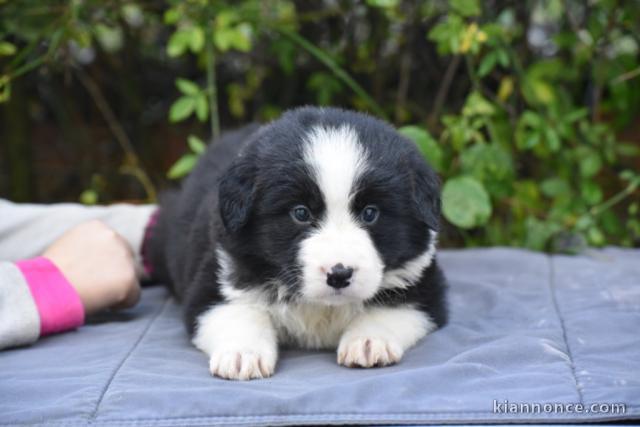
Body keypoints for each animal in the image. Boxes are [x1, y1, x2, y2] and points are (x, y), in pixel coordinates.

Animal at [152, 107, 448, 382]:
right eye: (301, 213)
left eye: (370, 213)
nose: (339, 274)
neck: (321, 306)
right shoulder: (215, 281)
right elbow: (239, 312)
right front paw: (242, 354)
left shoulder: (423, 287)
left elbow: (389, 309)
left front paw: (368, 341)